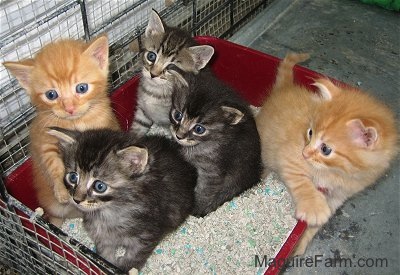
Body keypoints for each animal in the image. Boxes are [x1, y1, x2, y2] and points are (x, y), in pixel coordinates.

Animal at [3, 35, 120, 226]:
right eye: (51, 95)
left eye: (81, 88)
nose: (69, 108)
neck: (75, 122)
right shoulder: (44, 136)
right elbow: (51, 161)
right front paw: (61, 188)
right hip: (53, 207)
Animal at [47, 128, 196, 272]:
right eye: (73, 177)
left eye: (99, 186)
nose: (76, 199)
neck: (110, 212)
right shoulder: (102, 237)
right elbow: (104, 256)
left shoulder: (146, 236)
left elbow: (134, 256)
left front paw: (124, 267)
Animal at [169, 71, 262, 218]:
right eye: (177, 115)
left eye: (199, 129)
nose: (179, 135)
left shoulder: (212, 170)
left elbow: (205, 191)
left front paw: (196, 209)